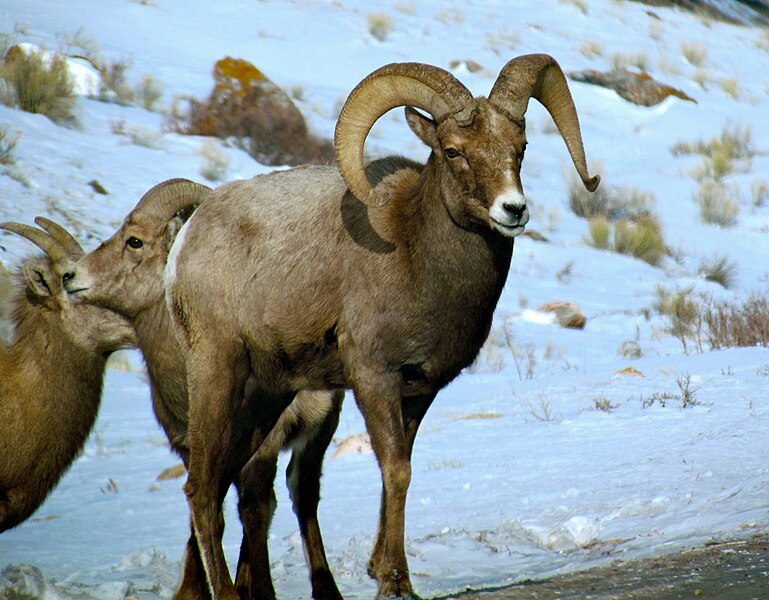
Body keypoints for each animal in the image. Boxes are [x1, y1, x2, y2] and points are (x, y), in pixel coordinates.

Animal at [61, 182, 344, 600]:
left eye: (134, 241)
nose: (70, 276)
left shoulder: (263, 447)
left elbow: (254, 510)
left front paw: (257, 591)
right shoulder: (192, 449)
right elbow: (207, 507)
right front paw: (195, 591)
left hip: (319, 432)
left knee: (299, 494)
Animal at [158, 54, 600, 596]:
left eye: (521, 148)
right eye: (452, 151)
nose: (513, 210)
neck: (415, 253)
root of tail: (185, 244)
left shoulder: (418, 390)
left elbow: (401, 472)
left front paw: (386, 571)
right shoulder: (372, 378)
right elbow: (396, 470)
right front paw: (394, 582)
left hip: (266, 397)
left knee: (221, 483)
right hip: (219, 376)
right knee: (201, 489)